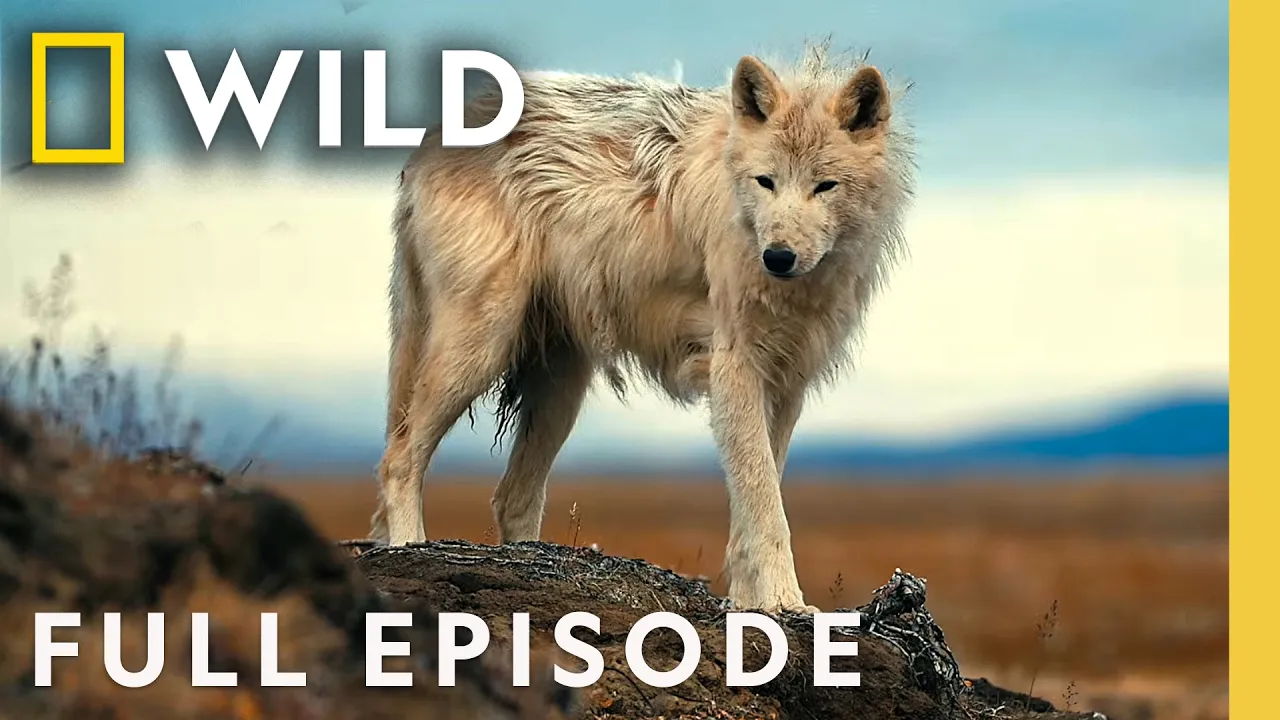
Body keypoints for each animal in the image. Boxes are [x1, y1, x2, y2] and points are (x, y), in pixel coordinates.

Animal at [369, 44, 915, 613]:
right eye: (766, 181)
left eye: (824, 186)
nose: (778, 257)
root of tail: (426, 143)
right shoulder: (734, 369)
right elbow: (767, 508)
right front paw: (785, 601)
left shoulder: (786, 382)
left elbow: (754, 502)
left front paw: (750, 604)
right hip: (480, 347)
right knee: (399, 459)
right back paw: (410, 550)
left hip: (560, 389)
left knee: (511, 496)